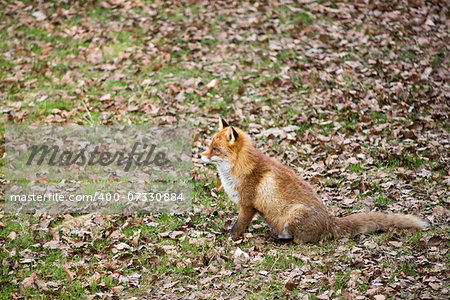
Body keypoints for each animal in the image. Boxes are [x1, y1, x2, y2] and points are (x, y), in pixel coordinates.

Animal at [199, 118, 428, 244]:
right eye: (209, 146)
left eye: (215, 149)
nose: (200, 156)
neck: (239, 168)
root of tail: (330, 221)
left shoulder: (247, 206)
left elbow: (236, 228)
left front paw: (228, 241)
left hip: (293, 217)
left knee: (300, 242)